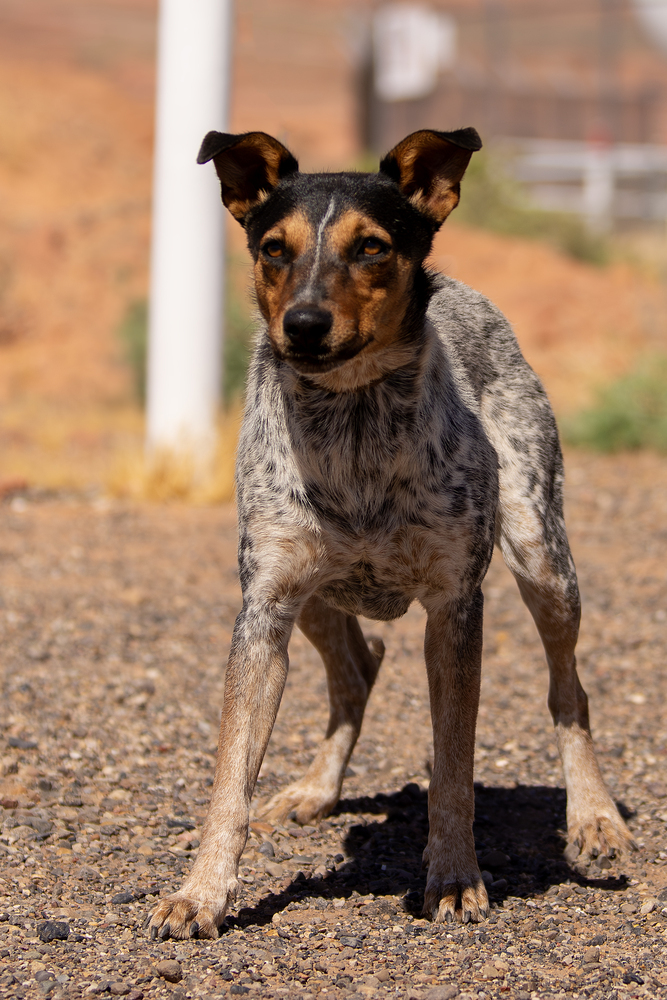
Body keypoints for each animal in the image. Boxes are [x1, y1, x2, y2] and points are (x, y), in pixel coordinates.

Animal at [149, 129, 636, 940]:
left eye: (372, 247)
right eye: (274, 249)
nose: (303, 326)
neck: (353, 424)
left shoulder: (455, 606)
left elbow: (453, 765)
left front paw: (454, 877)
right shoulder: (265, 607)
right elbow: (229, 779)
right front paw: (201, 892)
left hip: (544, 559)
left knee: (570, 691)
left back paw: (595, 818)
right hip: (313, 596)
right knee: (358, 667)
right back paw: (314, 788)